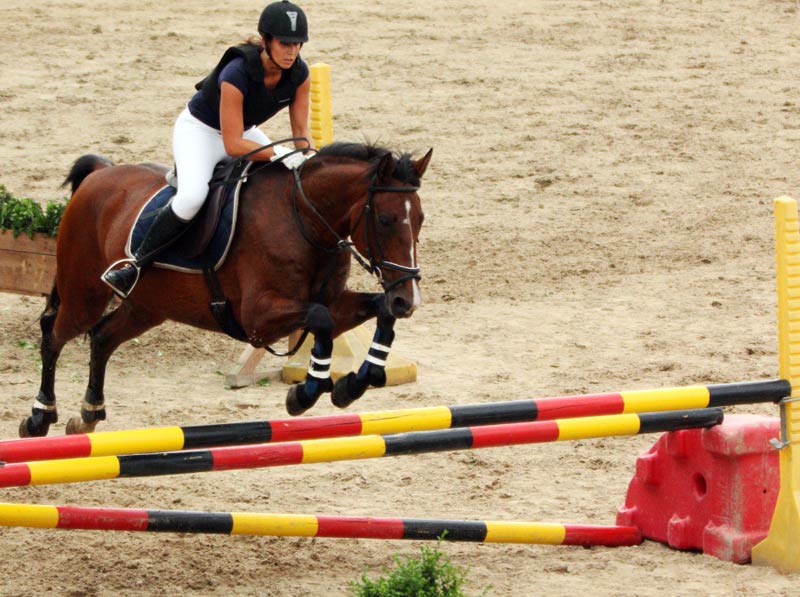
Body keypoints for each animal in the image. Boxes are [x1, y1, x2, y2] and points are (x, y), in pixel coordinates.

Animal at [19, 142, 432, 438]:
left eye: (421, 218)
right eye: (385, 219)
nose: (408, 300)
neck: (305, 220)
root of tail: (100, 176)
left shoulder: (333, 302)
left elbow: (375, 312)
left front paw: (355, 384)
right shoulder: (258, 318)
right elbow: (321, 321)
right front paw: (304, 394)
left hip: (149, 306)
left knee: (103, 337)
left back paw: (88, 415)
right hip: (84, 291)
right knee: (54, 333)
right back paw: (39, 417)